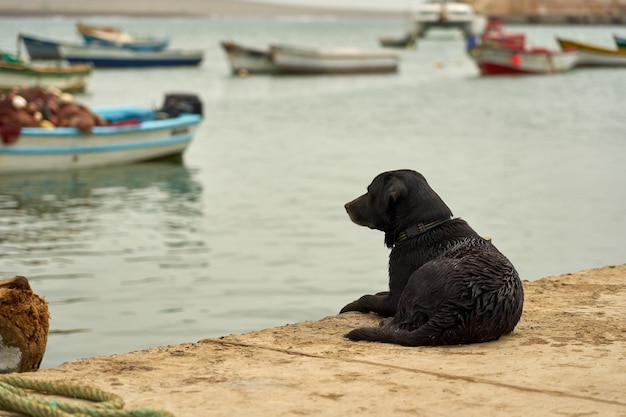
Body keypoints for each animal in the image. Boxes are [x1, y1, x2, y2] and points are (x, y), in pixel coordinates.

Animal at [342, 168, 520, 344]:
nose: (346, 206)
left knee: (400, 322)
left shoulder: (394, 298)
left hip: (419, 276)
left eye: (369, 191)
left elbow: (367, 298)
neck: (422, 228)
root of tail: (456, 309)